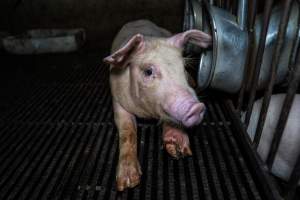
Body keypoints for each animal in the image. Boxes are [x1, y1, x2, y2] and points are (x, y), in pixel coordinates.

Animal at [103, 19, 211, 191]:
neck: (147, 113)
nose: (197, 108)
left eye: (183, 68)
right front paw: (128, 183)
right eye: (148, 71)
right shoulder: (117, 99)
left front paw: (178, 148)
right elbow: (128, 130)